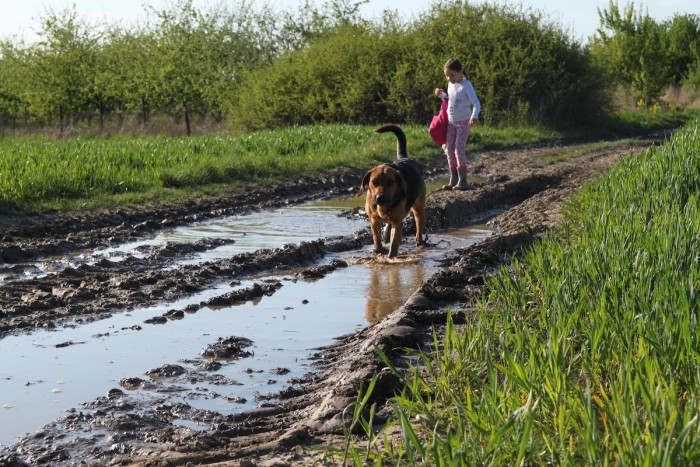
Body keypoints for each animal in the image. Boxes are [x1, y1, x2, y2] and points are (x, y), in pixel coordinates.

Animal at [356, 123, 426, 260]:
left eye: (390, 182)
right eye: (374, 181)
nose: (380, 198)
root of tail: (406, 158)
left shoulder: (397, 223)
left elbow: (394, 243)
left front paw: (391, 257)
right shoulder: (374, 220)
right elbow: (376, 237)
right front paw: (378, 250)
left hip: (419, 208)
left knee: (418, 225)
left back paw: (419, 242)